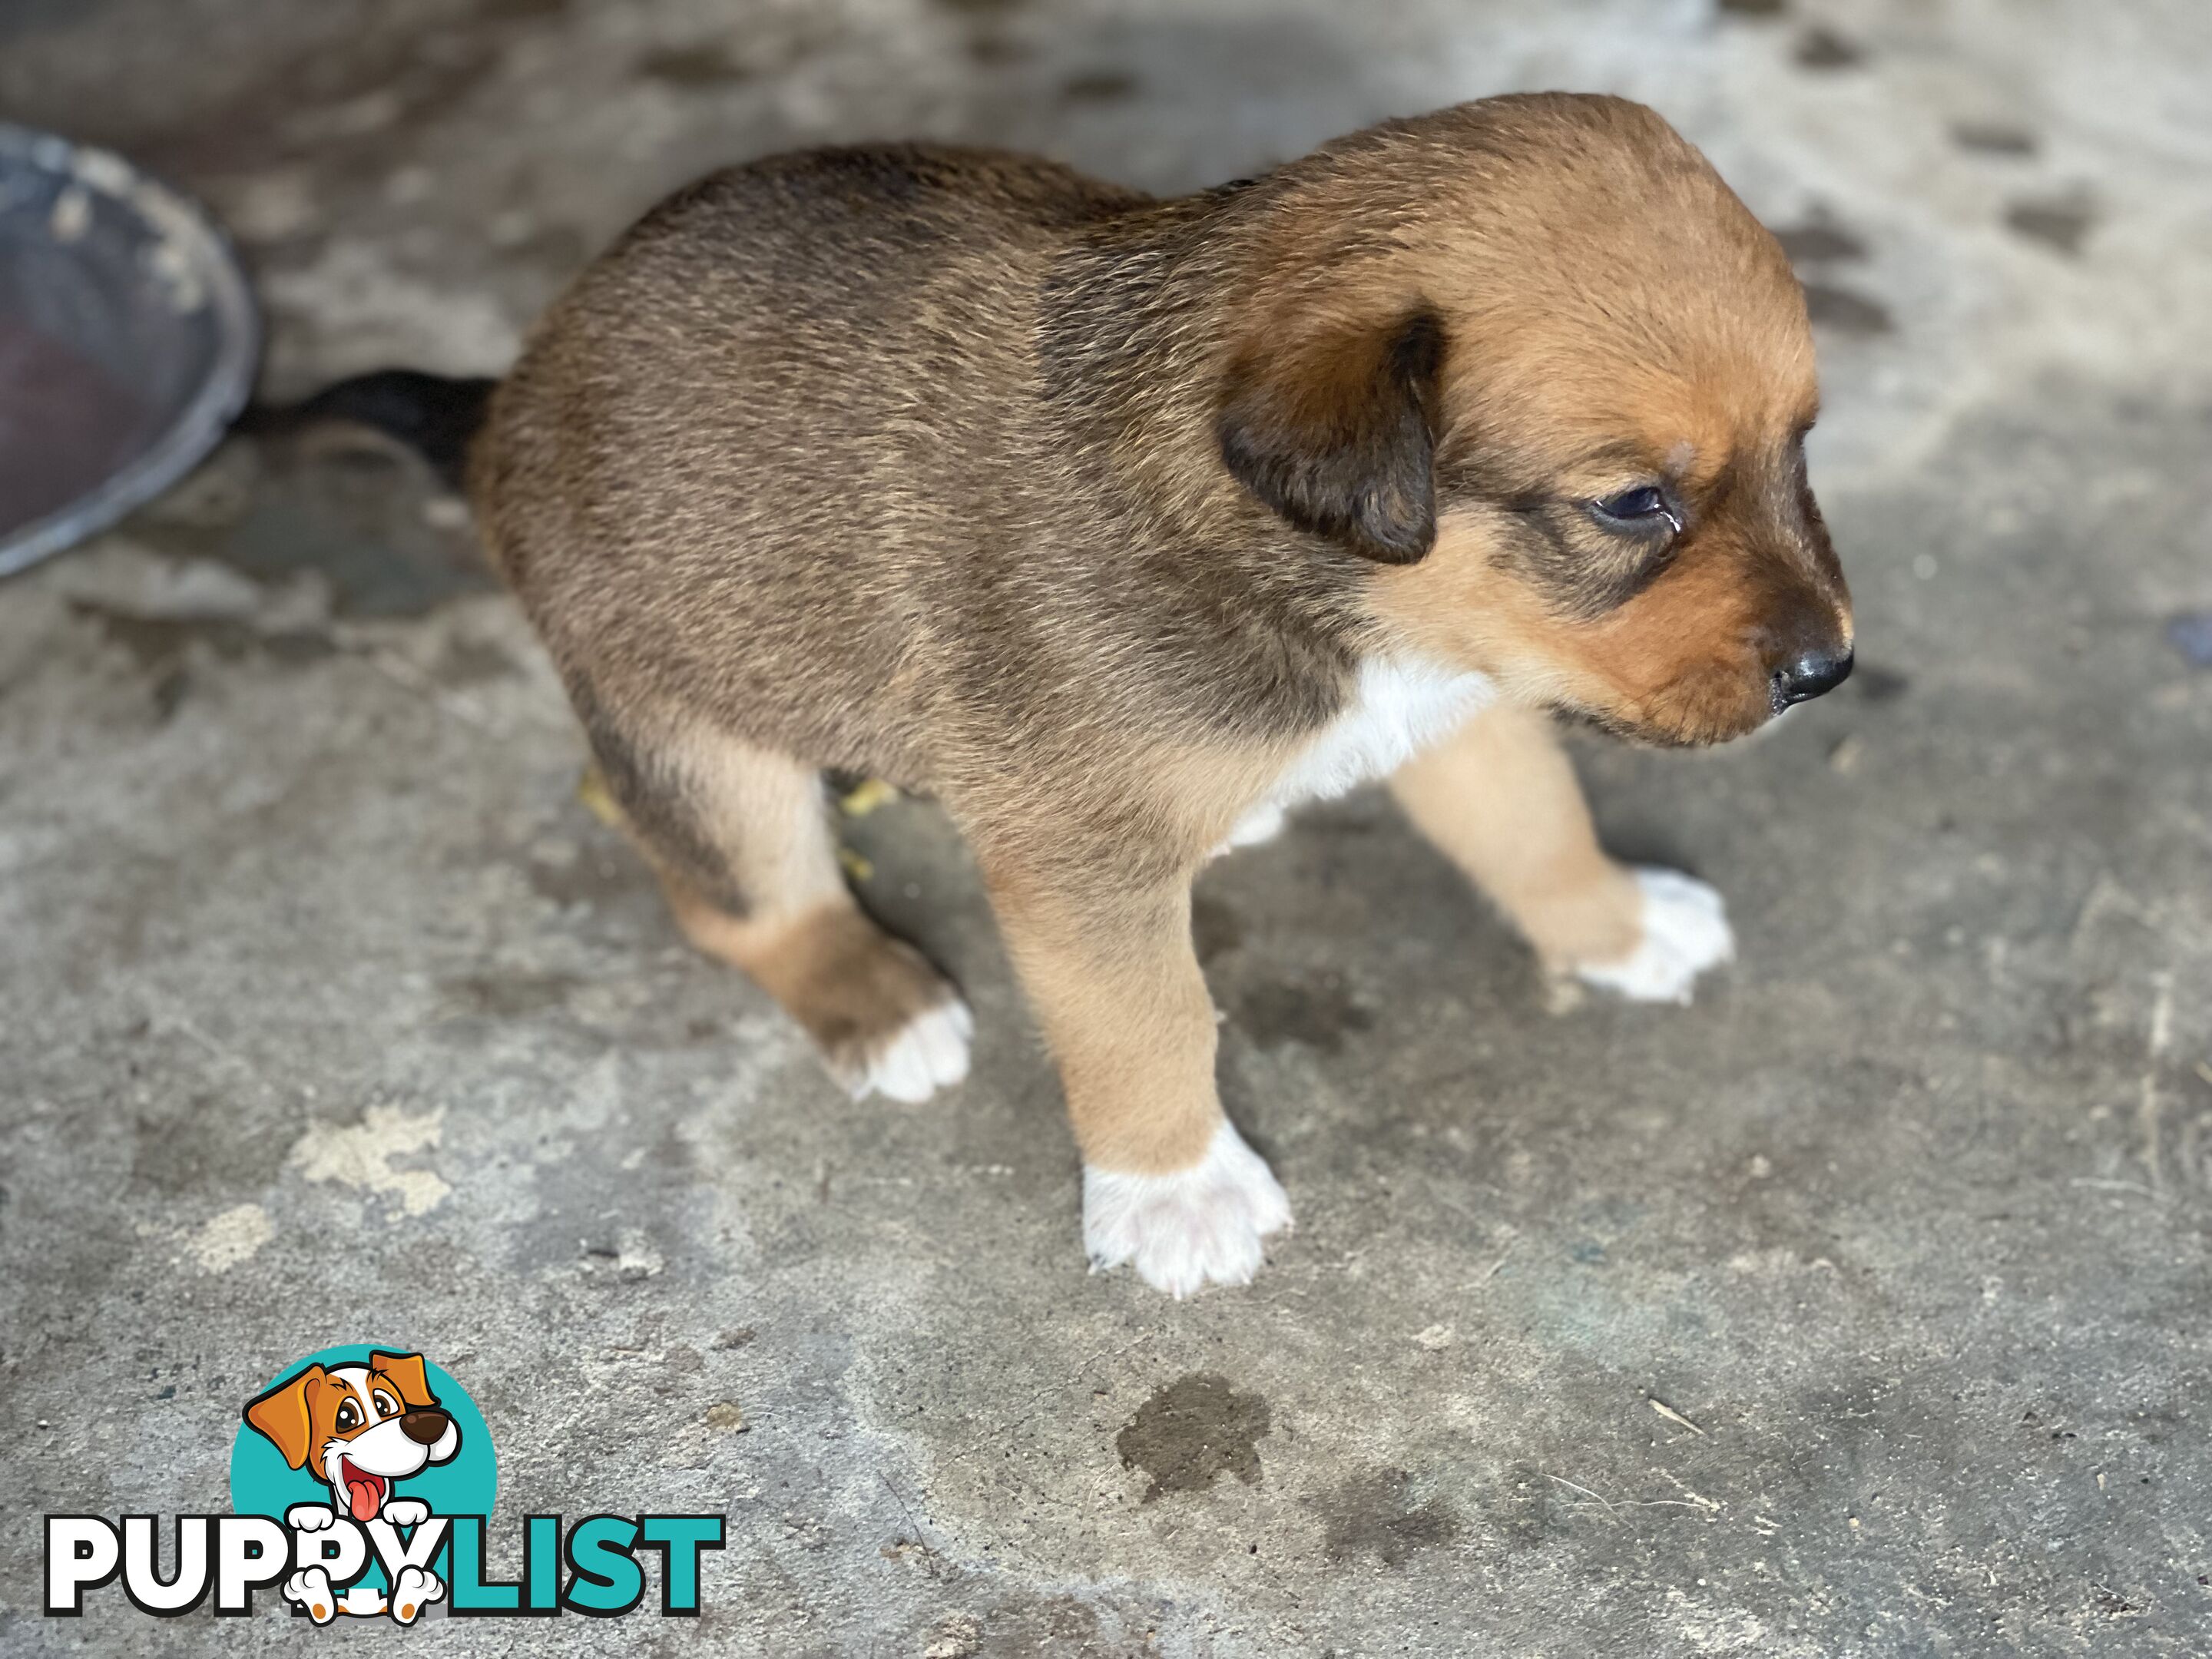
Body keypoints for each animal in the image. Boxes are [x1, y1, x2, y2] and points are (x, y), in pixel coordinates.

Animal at [340, 94, 1849, 1300]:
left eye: (1805, 442)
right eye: (1633, 503)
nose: (1829, 670)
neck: (1329, 596)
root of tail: (503, 401)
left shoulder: (1460, 706)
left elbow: (1539, 829)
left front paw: (1619, 923)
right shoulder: (1082, 861)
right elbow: (1146, 1021)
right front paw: (1177, 1191)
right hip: (698, 743)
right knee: (743, 903)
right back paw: (873, 998)